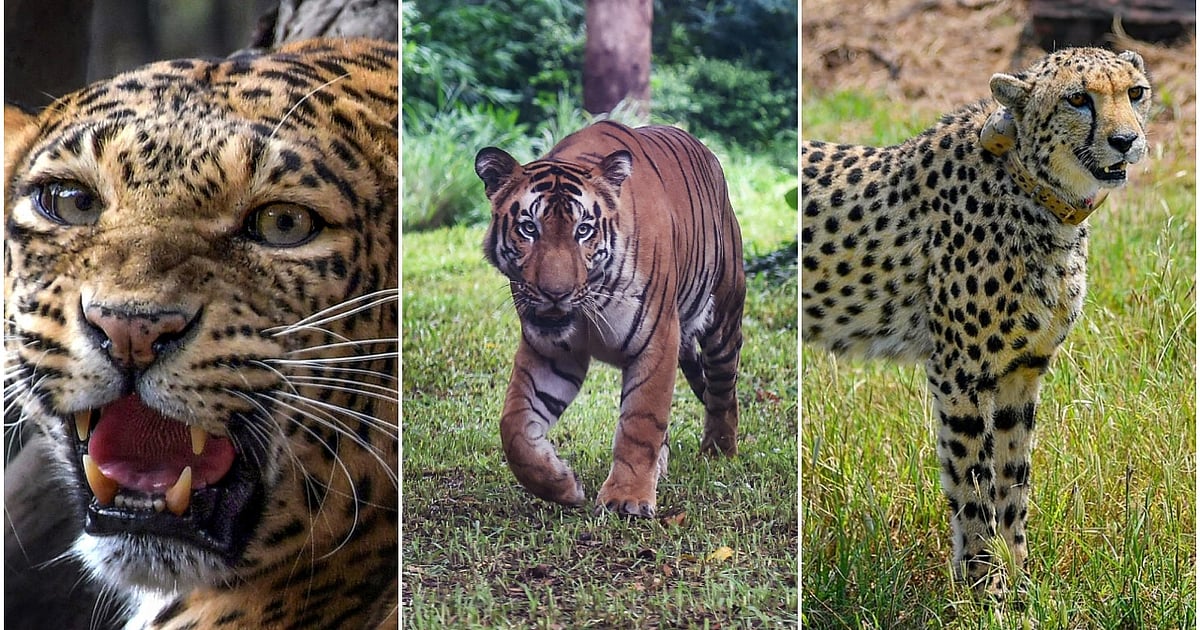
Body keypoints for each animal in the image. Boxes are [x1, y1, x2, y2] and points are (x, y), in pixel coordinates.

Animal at [473, 120, 746, 517]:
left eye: (583, 230)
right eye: (529, 229)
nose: (555, 293)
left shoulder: (657, 340)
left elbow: (641, 422)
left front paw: (626, 499)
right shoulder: (550, 353)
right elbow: (514, 426)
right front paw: (561, 485)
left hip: (723, 319)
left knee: (723, 391)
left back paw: (718, 452)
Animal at [801, 47, 1151, 595]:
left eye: (1135, 93)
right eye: (1078, 99)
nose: (1126, 141)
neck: (1035, 191)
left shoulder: (1021, 372)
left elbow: (1013, 479)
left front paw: (1022, 581)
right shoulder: (958, 373)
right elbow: (972, 483)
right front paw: (985, 587)